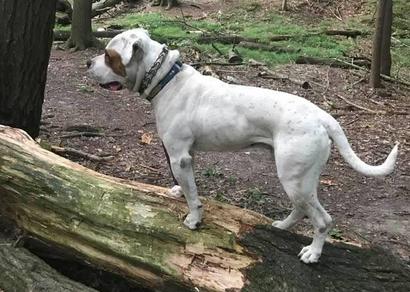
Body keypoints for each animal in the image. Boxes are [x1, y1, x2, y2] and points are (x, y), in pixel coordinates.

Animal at [88, 28, 398, 264]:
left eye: (109, 56)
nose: (89, 63)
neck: (166, 79)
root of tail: (323, 117)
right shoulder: (185, 156)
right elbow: (187, 186)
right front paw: (178, 192)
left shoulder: (179, 157)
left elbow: (194, 196)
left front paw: (194, 219)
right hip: (297, 177)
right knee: (302, 208)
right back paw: (282, 226)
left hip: (294, 177)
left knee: (322, 220)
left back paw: (313, 253)